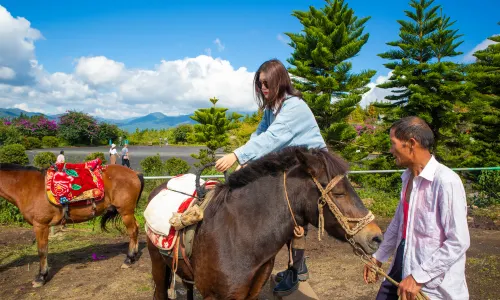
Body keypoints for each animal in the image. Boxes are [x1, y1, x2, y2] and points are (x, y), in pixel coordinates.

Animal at [0, 163, 145, 288]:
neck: (27, 186)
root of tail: (134, 173)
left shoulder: (40, 225)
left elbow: (42, 251)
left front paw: (41, 277)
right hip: (129, 213)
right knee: (136, 228)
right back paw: (134, 254)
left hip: (125, 212)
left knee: (132, 231)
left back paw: (129, 259)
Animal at [147, 148, 382, 300]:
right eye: (339, 193)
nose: (376, 237)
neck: (239, 235)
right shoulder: (215, 296)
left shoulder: (251, 292)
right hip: (157, 262)